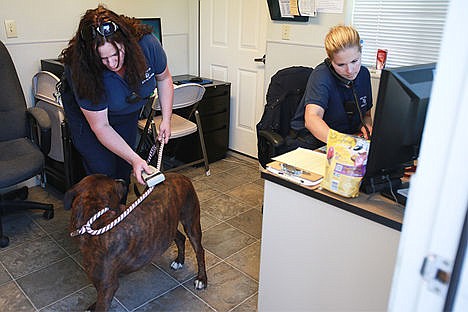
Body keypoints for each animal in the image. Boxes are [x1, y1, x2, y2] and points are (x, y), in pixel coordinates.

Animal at [64, 173, 207, 312]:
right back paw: (179, 261)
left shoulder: (107, 287)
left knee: (199, 251)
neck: (95, 221)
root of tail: (181, 176)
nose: (122, 181)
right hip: (168, 226)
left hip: (191, 223)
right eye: (114, 183)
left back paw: (201, 279)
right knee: (180, 238)